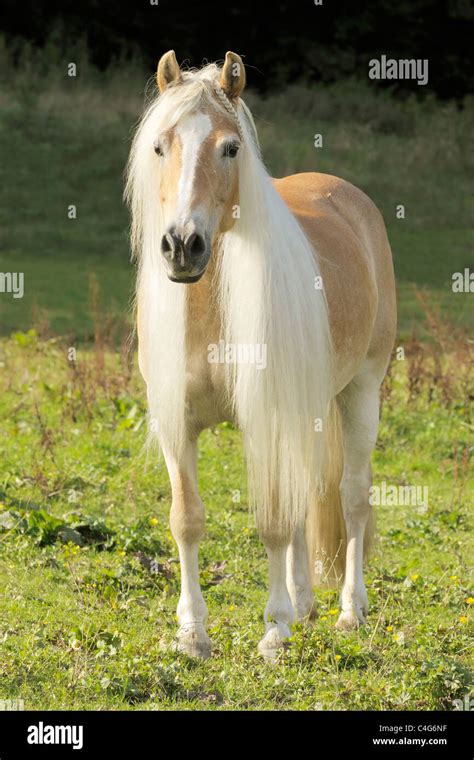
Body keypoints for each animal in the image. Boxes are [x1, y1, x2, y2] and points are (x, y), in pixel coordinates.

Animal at [125, 50, 396, 664]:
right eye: (160, 146)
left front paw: (273, 631)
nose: (182, 246)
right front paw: (192, 633)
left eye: (231, 148)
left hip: (361, 391)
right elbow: (187, 520)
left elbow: (273, 519)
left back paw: (349, 611)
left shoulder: (266, 418)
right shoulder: (178, 425)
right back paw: (305, 603)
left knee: (351, 498)